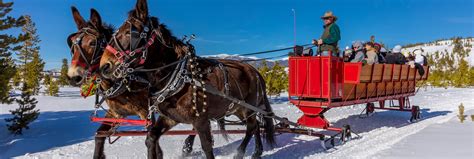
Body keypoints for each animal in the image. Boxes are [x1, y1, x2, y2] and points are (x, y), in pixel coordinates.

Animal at [99, 0, 278, 158]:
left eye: (131, 33)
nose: (104, 66)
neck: (178, 76)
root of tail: (255, 71)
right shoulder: (170, 118)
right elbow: (151, 138)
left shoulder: (201, 120)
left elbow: (207, 147)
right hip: (239, 108)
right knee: (255, 126)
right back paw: (257, 151)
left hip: (249, 107)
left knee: (252, 126)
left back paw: (240, 152)